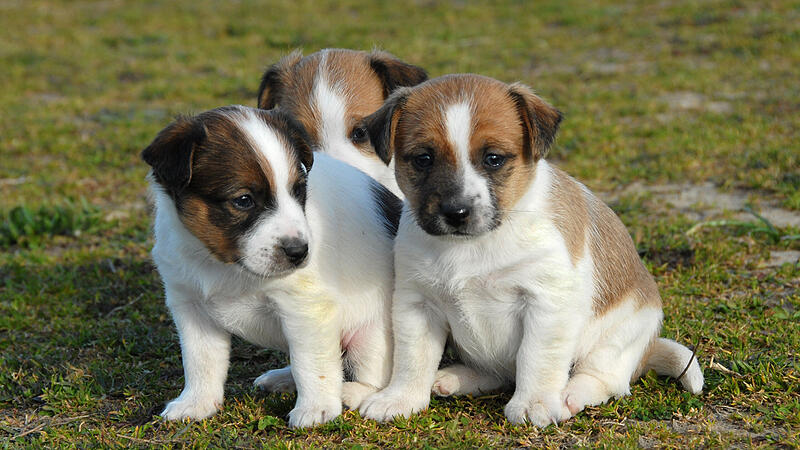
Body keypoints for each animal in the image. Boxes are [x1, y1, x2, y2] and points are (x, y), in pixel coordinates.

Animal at [141, 103, 400, 428]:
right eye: (243, 200)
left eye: (299, 191)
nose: (300, 252)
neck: (223, 263)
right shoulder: (190, 306)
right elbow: (201, 361)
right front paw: (196, 403)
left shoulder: (305, 308)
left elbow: (312, 364)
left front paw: (316, 409)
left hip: (371, 335)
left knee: (370, 375)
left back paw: (350, 392)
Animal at [354, 74, 700, 426]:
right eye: (423, 159)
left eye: (493, 158)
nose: (456, 212)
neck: (474, 245)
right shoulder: (417, 304)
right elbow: (412, 359)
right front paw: (400, 399)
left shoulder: (546, 303)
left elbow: (536, 358)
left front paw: (535, 402)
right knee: (498, 372)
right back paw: (456, 377)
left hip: (617, 338)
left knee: (604, 379)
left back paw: (571, 395)